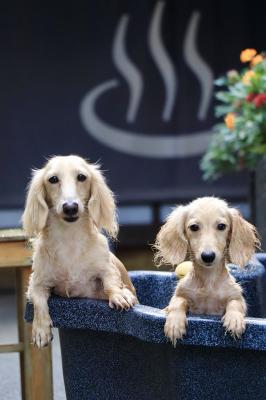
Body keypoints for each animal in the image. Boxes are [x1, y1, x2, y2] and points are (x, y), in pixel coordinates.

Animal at [22, 155, 137, 348]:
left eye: (82, 177)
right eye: (53, 179)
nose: (70, 207)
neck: (70, 239)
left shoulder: (106, 270)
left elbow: (111, 282)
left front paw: (120, 295)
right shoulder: (37, 282)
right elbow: (38, 301)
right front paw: (40, 329)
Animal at [154, 198, 260, 346]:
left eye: (221, 226)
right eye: (194, 227)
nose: (208, 256)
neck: (209, 281)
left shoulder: (236, 296)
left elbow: (235, 303)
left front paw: (234, 320)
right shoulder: (180, 294)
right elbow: (177, 302)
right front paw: (174, 324)